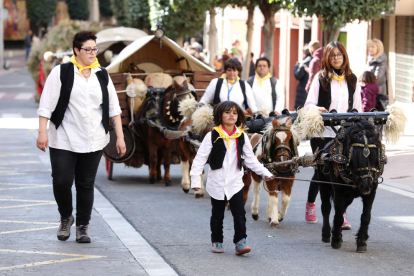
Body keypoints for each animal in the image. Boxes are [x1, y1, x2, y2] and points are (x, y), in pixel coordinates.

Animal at [316, 119, 384, 253]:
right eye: (355, 158)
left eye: (375, 158)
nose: (365, 186)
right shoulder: (338, 191)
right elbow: (337, 215)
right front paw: (336, 239)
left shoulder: (372, 192)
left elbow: (365, 217)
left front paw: (361, 242)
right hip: (324, 184)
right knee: (326, 208)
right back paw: (326, 234)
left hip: (350, 196)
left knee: (343, 209)